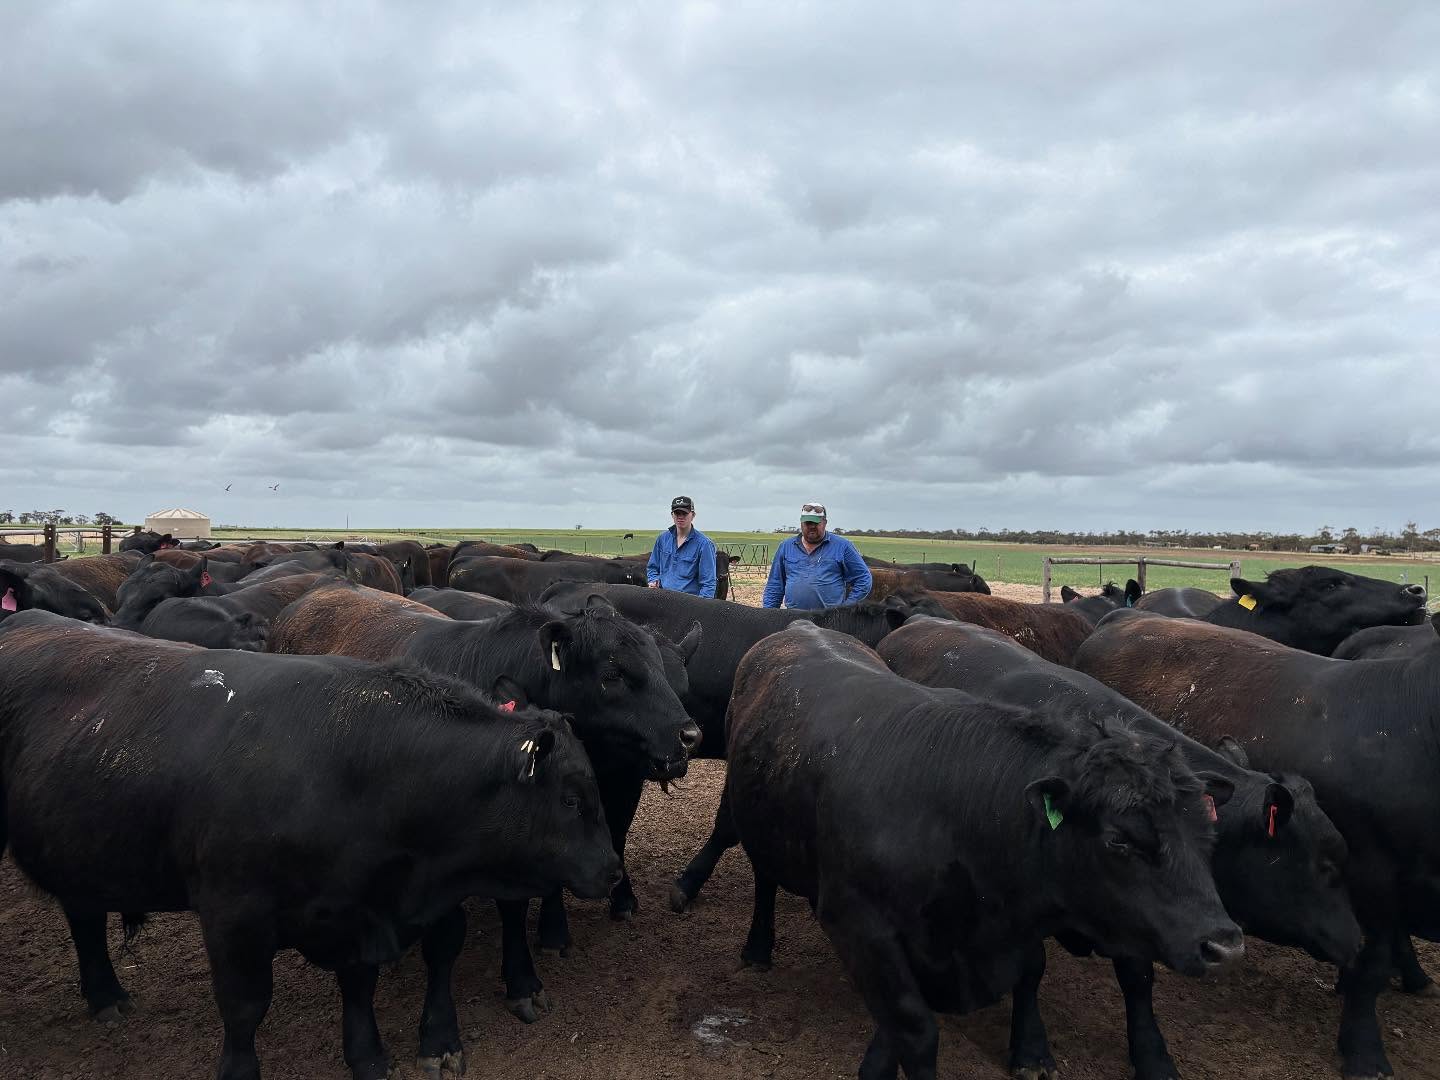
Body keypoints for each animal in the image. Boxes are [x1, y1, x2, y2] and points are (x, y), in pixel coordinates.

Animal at [0, 610, 618, 1080]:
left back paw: (105, 995)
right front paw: (240, 1072)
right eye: (570, 799)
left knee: (83, 915)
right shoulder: (232, 912)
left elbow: (359, 984)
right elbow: (245, 1005)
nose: (612, 870)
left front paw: (367, 1057)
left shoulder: (359, 909)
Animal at [723, 620, 1242, 1080]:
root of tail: (804, 626)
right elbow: (914, 1031)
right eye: (1119, 839)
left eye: (1208, 835)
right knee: (765, 881)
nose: (1224, 944)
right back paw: (758, 946)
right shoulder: (862, 925)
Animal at [879, 616, 1360, 1079]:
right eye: (1325, 867)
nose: (1359, 941)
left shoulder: (1141, 908)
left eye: (1207, 838)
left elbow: (1138, 977)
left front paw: (1153, 1056)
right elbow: (1031, 968)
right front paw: (1031, 1048)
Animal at [1074, 611, 1440, 1080]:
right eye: (1326, 867)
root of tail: (1130, 614)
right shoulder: (1376, 876)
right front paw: (1364, 1051)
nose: (1349, 943)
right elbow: (1373, 964)